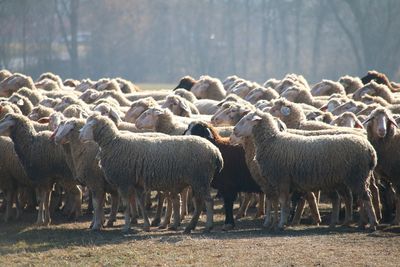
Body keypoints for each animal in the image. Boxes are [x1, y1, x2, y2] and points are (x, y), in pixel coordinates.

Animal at [78, 114, 222, 233]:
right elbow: (141, 204)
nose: (79, 134)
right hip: (199, 180)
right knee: (199, 203)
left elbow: (125, 206)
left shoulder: (124, 182)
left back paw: (208, 226)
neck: (114, 143)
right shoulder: (136, 184)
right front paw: (146, 225)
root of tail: (215, 151)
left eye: (89, 125)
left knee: (208, 202)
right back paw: (189, 227)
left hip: (200, 179)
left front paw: (126, 227)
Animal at [231, 110, 378, 230]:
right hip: (344, 179)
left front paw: (281, 223)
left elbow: (283, 202)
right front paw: (273, 223)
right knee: (349, 197)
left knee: (365, 197)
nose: (234, 130)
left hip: (357, 176)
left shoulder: (282, 180)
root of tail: (370, 149)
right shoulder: (273, 182)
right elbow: (273, 202)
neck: (271, 142)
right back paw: (344, 222)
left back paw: (371, 223)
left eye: (246, 119)